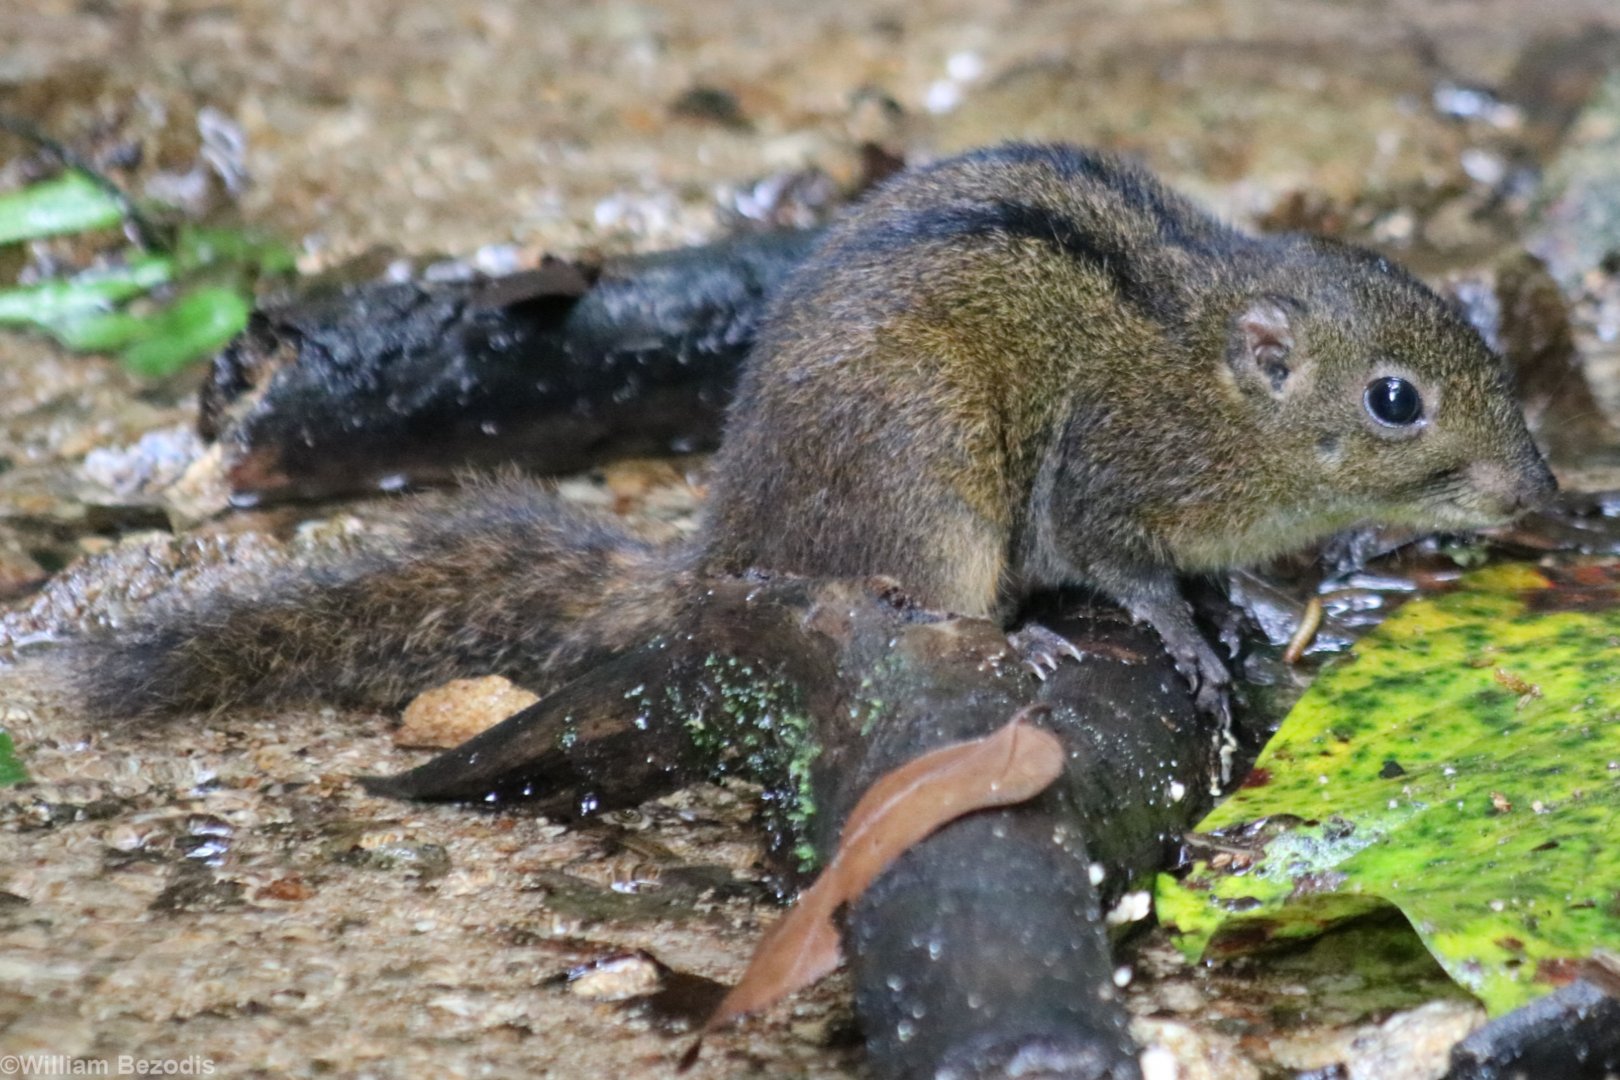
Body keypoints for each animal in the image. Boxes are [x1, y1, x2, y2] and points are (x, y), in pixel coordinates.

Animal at [55, 142, 1555, 721]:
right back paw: (1013, 636)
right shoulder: (1111, 475)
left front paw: (1244, 605)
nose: (1541, 492)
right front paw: (1182, 634)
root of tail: (729, 539)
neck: (1215, 380)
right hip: (935, 485)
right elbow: (1126, 568)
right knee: (901, 595)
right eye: (1398, 399)